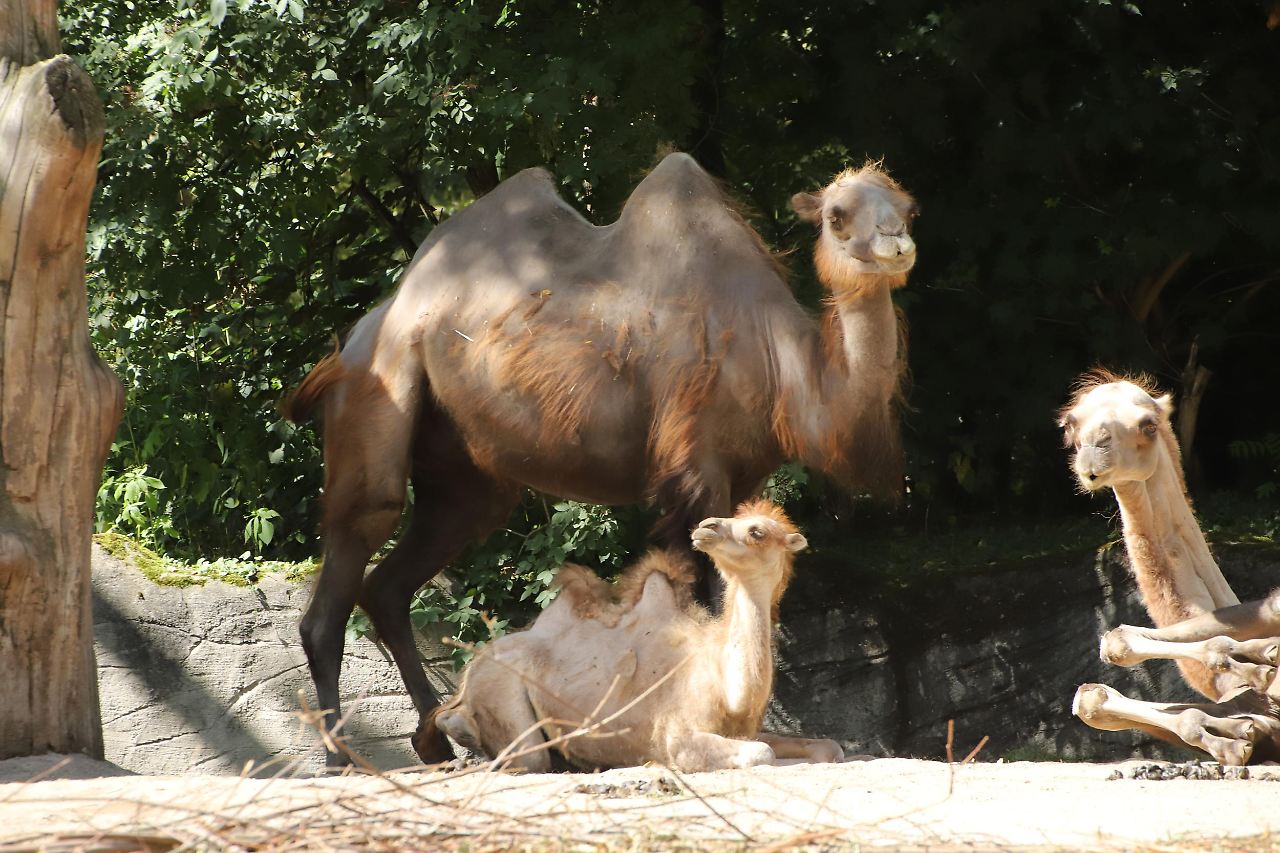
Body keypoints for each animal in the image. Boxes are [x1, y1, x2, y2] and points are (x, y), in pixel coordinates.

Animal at [432, 499, 849, 768]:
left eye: (757, 531)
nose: (706, 526)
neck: (724, 684)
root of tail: (472, 668)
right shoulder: (677, 737)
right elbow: (763, 753)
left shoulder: (746, 729)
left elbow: (830, 747)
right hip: (501, 690)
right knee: (527, 756)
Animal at [1059, 368, 1280, 758]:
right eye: (1071, 423)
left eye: (1148, 424)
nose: (1092, 457)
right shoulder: (1266, 720)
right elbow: (1093, 692)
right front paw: (1232, 734)